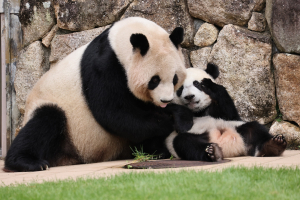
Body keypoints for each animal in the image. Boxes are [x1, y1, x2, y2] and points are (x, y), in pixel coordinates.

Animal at [4, 17, 192, 172]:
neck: (119, 41)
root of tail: (69, 157)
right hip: (55, 111)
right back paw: (28, 162)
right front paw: (169, 121)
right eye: (154, 80)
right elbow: (116, 114)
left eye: (175, 78)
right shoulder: (103, 66)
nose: (165, 100)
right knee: (45, 121)